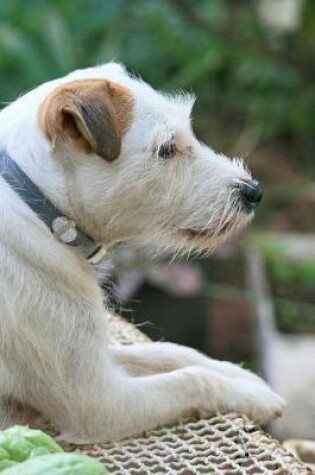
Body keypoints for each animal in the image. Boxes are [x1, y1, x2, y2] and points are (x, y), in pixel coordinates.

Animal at [0, 62, 286, 442]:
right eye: (166, 149)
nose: (254, 191)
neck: (37, 207)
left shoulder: (100, 358)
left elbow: (168, 352)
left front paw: (241, 374)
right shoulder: (97, 401)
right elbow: (190, 379)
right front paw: (248, 393)